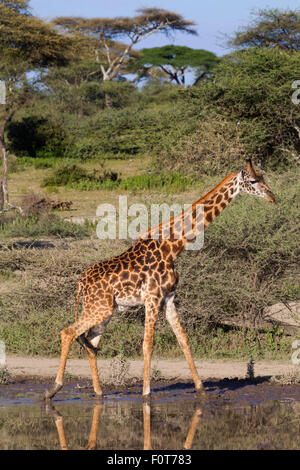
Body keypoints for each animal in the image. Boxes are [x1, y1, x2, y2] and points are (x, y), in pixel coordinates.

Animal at [43, 159, 276, 400]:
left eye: (263, 177)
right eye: (253, 181)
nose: (272, 198)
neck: (173, 247)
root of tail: (80, 282)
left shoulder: (168, 298)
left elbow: (183, 339)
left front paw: (201, 389)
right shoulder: (152, 298)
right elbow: (148, 343)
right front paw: (146, 393)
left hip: (105, 310)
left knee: (91, 342)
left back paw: (99, 393)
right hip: (99, 308)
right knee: (68, 332)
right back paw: (54, 389)